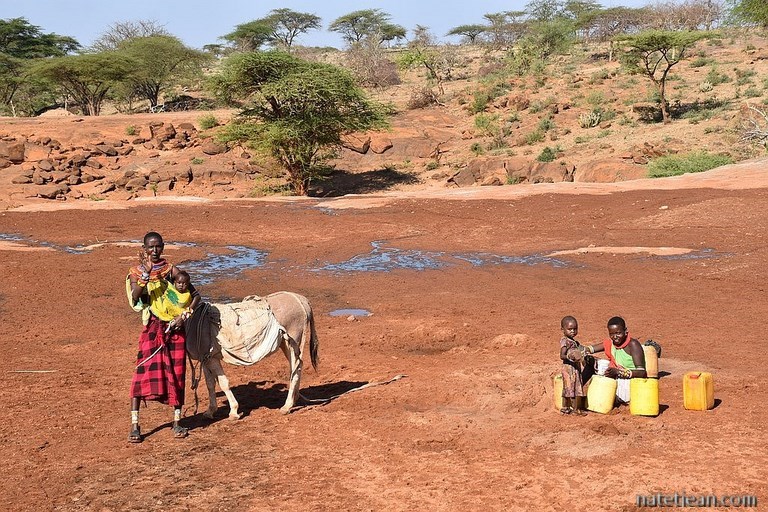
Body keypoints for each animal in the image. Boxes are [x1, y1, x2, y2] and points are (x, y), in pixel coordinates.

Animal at [184, 291, 319, 419]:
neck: (195, 321)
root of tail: (301, 300)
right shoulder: (206, 359)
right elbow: (210, 384)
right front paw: (210, 411)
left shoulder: (212, 360)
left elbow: (223, 383)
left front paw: (234, 412)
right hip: (286, 344)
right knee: (296, 367)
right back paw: (295, 399)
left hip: (293, 342)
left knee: (296, 369)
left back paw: (287, 406)